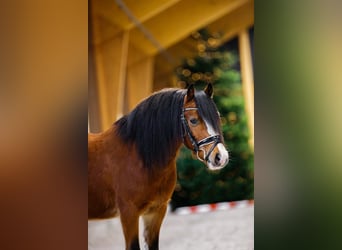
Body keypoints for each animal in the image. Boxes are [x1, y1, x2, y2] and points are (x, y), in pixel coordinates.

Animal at [88, 84, 228, 250]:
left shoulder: (156, 211)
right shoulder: (129, 213)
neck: (139, 156)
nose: (221, 157)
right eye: (193, 120)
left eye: (217, 117)